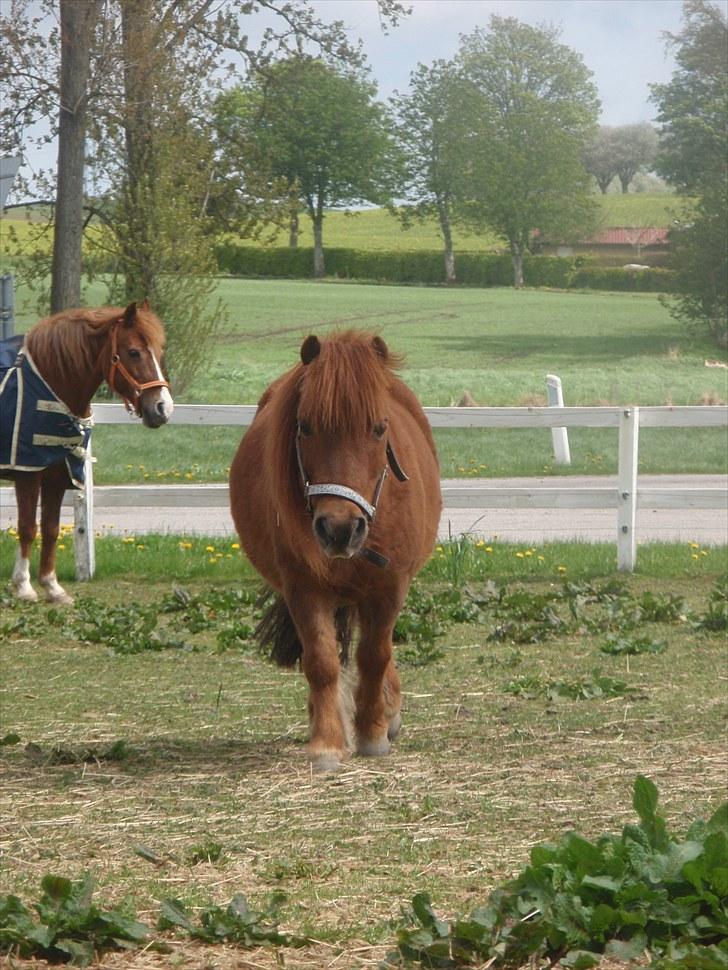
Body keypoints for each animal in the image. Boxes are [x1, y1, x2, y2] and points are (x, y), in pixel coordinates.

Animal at [0, 300, 173, 604]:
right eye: (133, 352)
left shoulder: (57, 476)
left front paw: (52, 586)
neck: (50, 382)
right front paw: (23, 586)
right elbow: (28, 527)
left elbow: (51, 528)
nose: (163, 408)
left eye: (158, 352)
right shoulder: (28, 472)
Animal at [230, 332, 440, 772]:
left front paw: (373, 732)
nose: (340, 528)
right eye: (305, 427)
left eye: (379, 428)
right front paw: (326, 742)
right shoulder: (303, 589)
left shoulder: (389, 588)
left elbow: (375, 655)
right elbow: (321, 662)